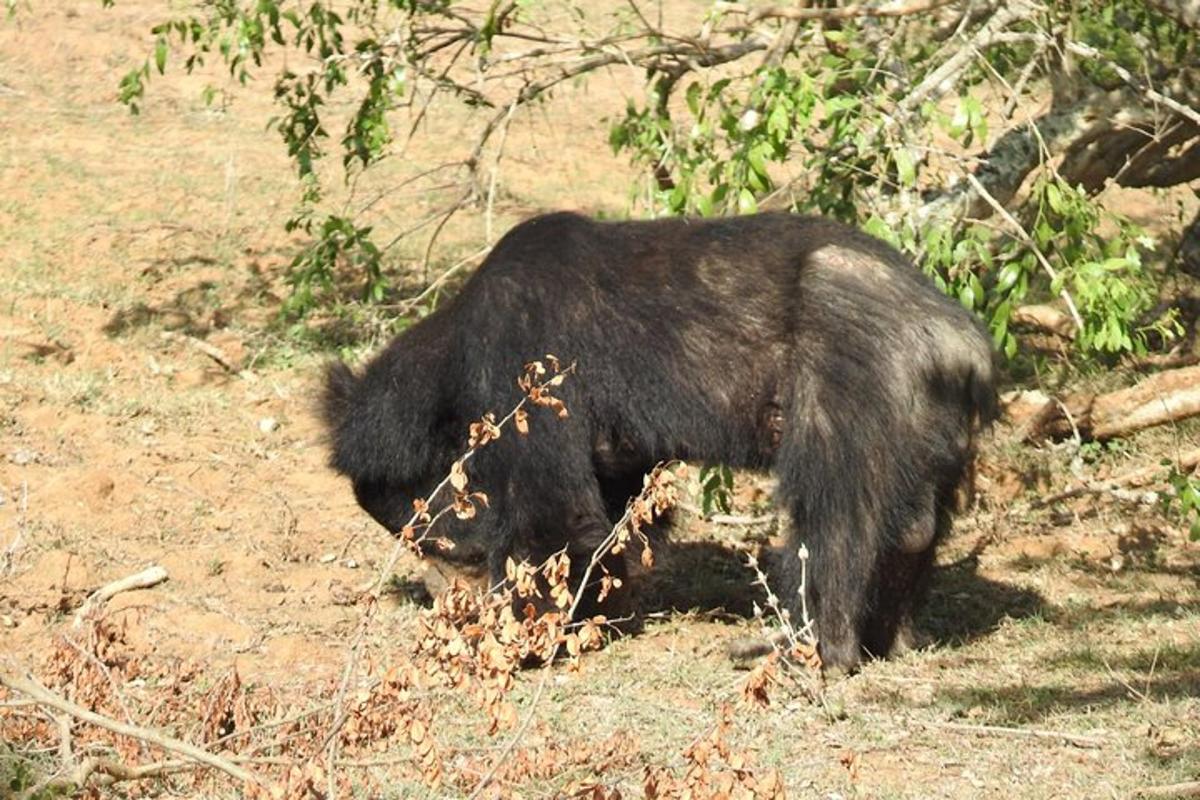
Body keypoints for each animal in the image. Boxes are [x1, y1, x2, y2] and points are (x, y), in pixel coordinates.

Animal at [324, 209, 998, 671]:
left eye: (438, 545)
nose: (447, 603)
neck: (454, 357)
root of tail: (961, 343)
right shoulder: (613, 447)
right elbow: (611, 514)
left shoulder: (534, 373)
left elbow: (552, 513)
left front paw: (519, 637)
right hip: (923, 422)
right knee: (913, 525)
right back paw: (891, 639)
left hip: (848, 378)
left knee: (835, 514)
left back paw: (798, 649)